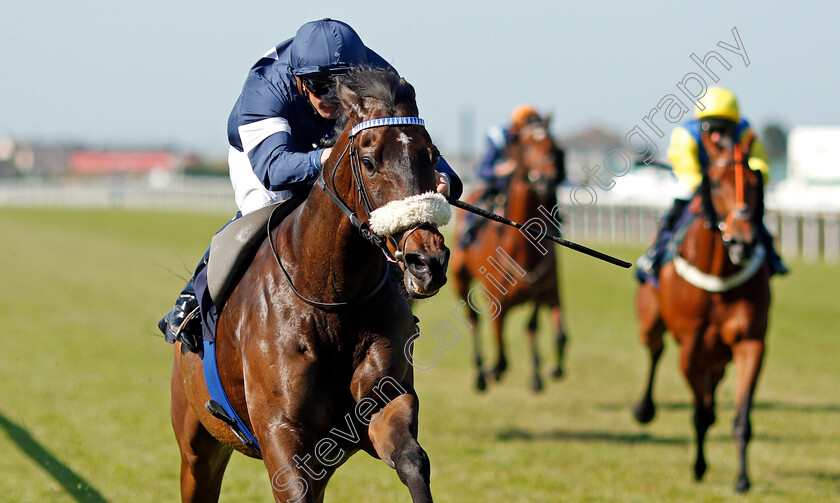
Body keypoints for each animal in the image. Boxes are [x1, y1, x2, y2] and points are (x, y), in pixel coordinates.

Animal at [170, 68, 452, 503]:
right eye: (368, 161)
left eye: (432, 155)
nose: (428, 262)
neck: (333, 297)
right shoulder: (281, 433)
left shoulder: (381, 406)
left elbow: (412, 462)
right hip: (198, 447)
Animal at [450, 121, 568, 394]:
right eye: (524, 146)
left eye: (553, 144)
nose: (547, 178)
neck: (524, 250)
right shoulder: (496, 300)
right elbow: (501, 353)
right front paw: (493, 371)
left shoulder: (546, 290)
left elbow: (546, 331)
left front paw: (543, 372)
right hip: (459, 278)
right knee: (474, 319)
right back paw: (481, 372)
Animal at [632, 127, 772, 492]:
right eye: (717, 183)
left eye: (754, 181)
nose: (742, 241)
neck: (719, 274)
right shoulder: (690, 349)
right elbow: (700, 415)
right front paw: (698, 466)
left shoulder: (750, 342)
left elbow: (741, 419)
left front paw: (742, 479)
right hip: (651, 323)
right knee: (654, 350)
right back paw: (644, 408)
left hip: (719, 353)